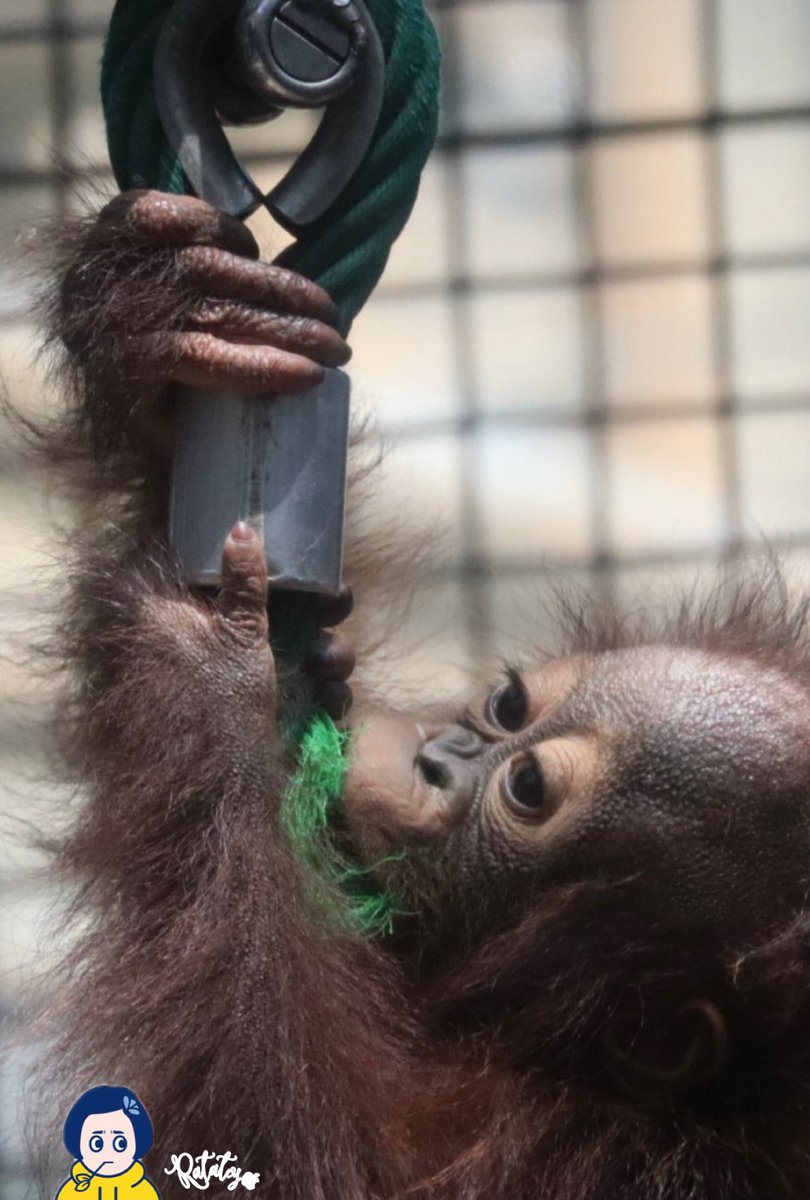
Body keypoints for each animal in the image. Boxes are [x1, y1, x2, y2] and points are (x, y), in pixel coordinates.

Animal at [29, 187, 810, 1200]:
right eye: (509, 708)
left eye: (527, 789)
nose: (440, 755)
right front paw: (166, 316)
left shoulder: (589, 1159)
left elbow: (298, 1154)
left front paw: (212, 680)